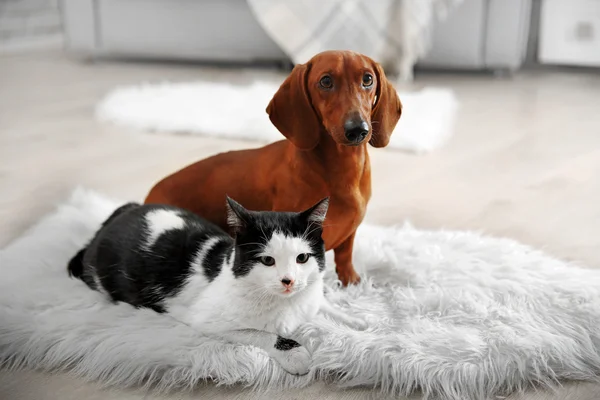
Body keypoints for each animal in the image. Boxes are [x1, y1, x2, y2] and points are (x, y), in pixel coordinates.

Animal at [66, 196, 366, 376]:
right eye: (267, 260)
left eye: (302, 258)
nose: (288, 280)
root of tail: (122, 210)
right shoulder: (208, 320)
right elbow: (262, 334)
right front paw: (296, 353)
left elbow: (321, 304)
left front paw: (355, 319)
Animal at [143, 50, 400, 286]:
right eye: (326, 81)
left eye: (367, 79)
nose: (358, 129)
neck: (341, 169)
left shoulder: (349, 235)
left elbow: (345, 256)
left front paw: (351, 282)